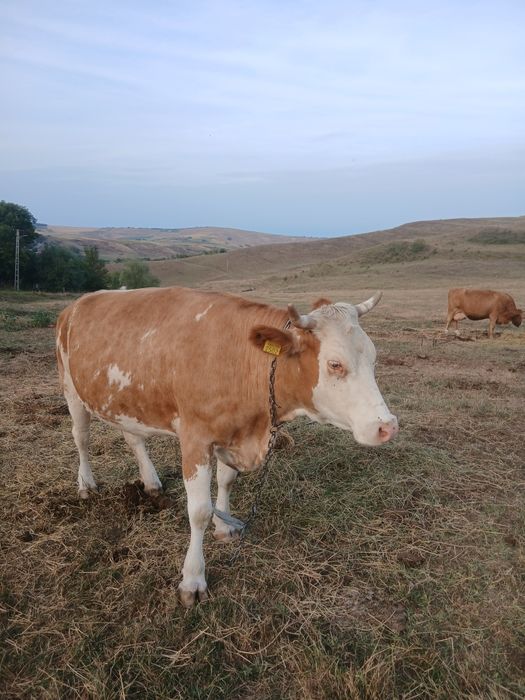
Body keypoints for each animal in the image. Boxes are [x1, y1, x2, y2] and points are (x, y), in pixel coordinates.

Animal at [56, 286, 398, 606]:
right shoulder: (195, 439)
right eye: (335, 364)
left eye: (374, 357)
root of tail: (76, 304)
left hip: (126, 401)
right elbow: (198, 511)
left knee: (134, 437)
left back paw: (151, 483)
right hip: (71, 389)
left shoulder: (233, 433)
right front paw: (193, 578)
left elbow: (226, 480)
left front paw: (224, 526)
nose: (387, 426)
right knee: (81, 437)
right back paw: (86, 484)